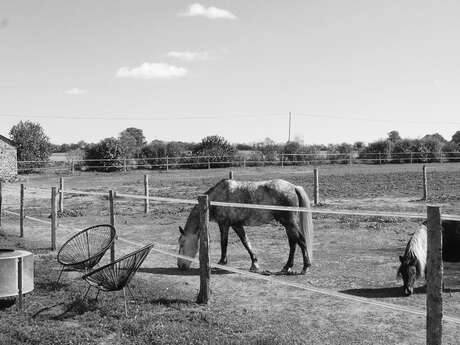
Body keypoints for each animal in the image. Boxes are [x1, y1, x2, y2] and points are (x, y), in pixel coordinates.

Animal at [176, 179, 312, 272]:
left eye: (182, 243)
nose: (179, 265)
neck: (217, 198)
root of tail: (294, 187)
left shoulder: (224, 224)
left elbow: (224, 243)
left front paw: (221, 262)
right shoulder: (237, 225)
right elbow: (246, 242)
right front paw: (254, 263)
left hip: (289, 223)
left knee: (301, 240)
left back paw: (305, 267)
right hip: (287, 225)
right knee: (293, 243)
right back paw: (287, 266)